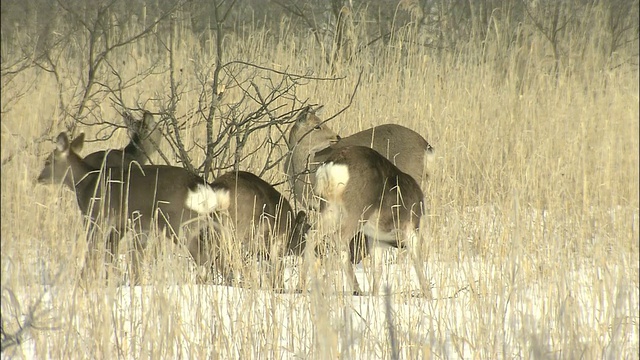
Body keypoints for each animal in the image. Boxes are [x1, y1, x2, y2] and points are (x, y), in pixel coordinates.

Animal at [37, 131, 308, 288]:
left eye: (48, 161)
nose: (39, 177)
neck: (86, 182)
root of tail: (205, 186)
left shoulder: (98, 219)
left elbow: (96, 254)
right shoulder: (131, 227)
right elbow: (123, 258)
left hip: (179, 224)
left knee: (210, 258)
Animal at [312, 145, 428, 296]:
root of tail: (332, 165)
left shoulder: (375, 239)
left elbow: (377, 269)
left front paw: (375, 294)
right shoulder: (411, 228)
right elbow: (417, 261)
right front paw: (427, 294)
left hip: (328, 208)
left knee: (311, 235)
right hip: (358, 210)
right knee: (339, 237)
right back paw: (355, 289)